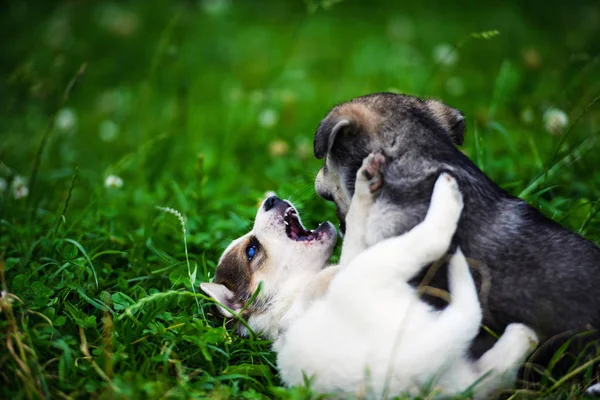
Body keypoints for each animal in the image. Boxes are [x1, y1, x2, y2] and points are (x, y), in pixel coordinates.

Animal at [202, 152, 540, 396]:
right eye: (251, 250)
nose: (271, 199)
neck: (290, 301)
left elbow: (358, 217)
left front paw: (366, 180)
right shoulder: (360, 262)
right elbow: (363, 225)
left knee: (493, 372)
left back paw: (522, 336)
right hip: (382, 271)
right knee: (446, 269)